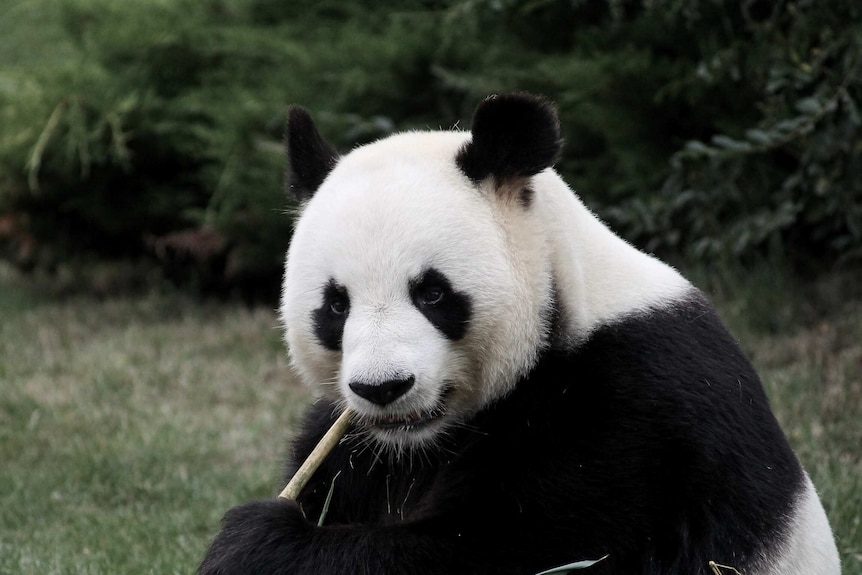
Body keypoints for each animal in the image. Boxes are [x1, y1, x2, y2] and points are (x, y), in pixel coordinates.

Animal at [199, 92, 840, 572]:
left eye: (432, 293)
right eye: (336, 306)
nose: (384, 388)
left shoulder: (629, 415)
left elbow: (513, 550)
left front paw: (255, 543)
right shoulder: (356, 446)